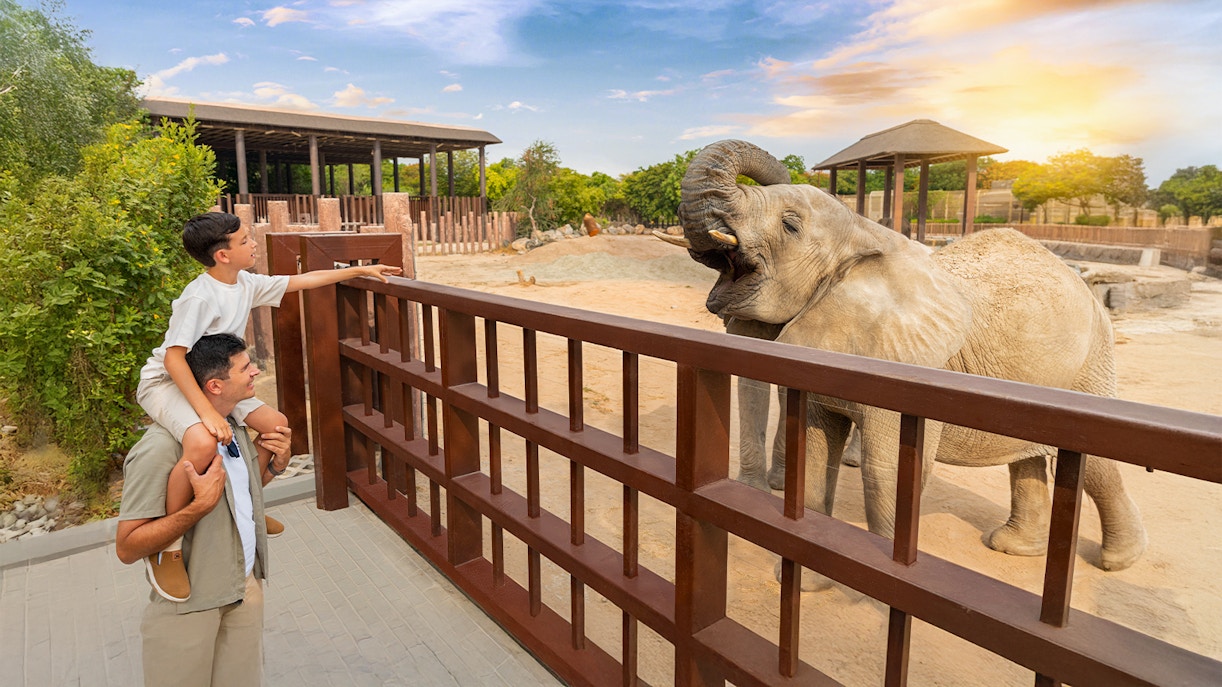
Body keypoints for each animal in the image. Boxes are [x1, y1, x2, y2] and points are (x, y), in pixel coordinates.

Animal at [665, 139, 1146, 573]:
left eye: (790, 226)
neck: (862, 234)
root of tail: (1080, 278)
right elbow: (816, 450)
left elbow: (888, 469)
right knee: (1024, 457)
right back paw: (1012, 548)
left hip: (1092, 359)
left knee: (1095, 464)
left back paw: (1117, 561)